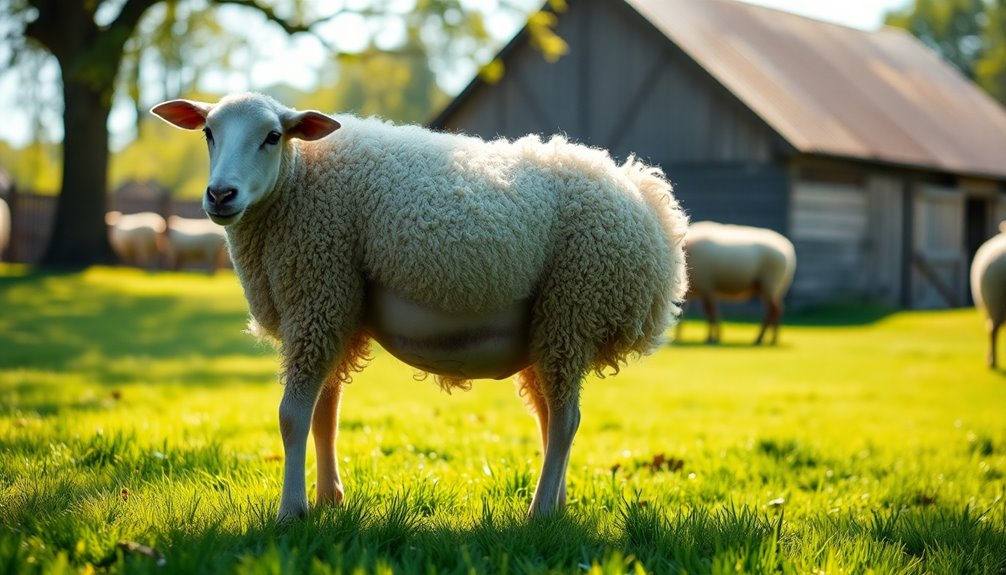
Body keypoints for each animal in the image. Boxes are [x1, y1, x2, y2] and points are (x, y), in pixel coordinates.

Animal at [148, 92, 692, 522]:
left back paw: (538, 514)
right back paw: (555, 507)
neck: (297, 185)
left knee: (564, 420)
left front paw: (291, 512)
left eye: (273, 136)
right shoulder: (334, 308)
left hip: (575, 304)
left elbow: (292, 416)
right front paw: (327, 500)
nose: (221, 194)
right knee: (552, 414)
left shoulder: (317, 293)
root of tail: (651, 205)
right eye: (208, 133)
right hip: (551, 326)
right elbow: (326, 412)